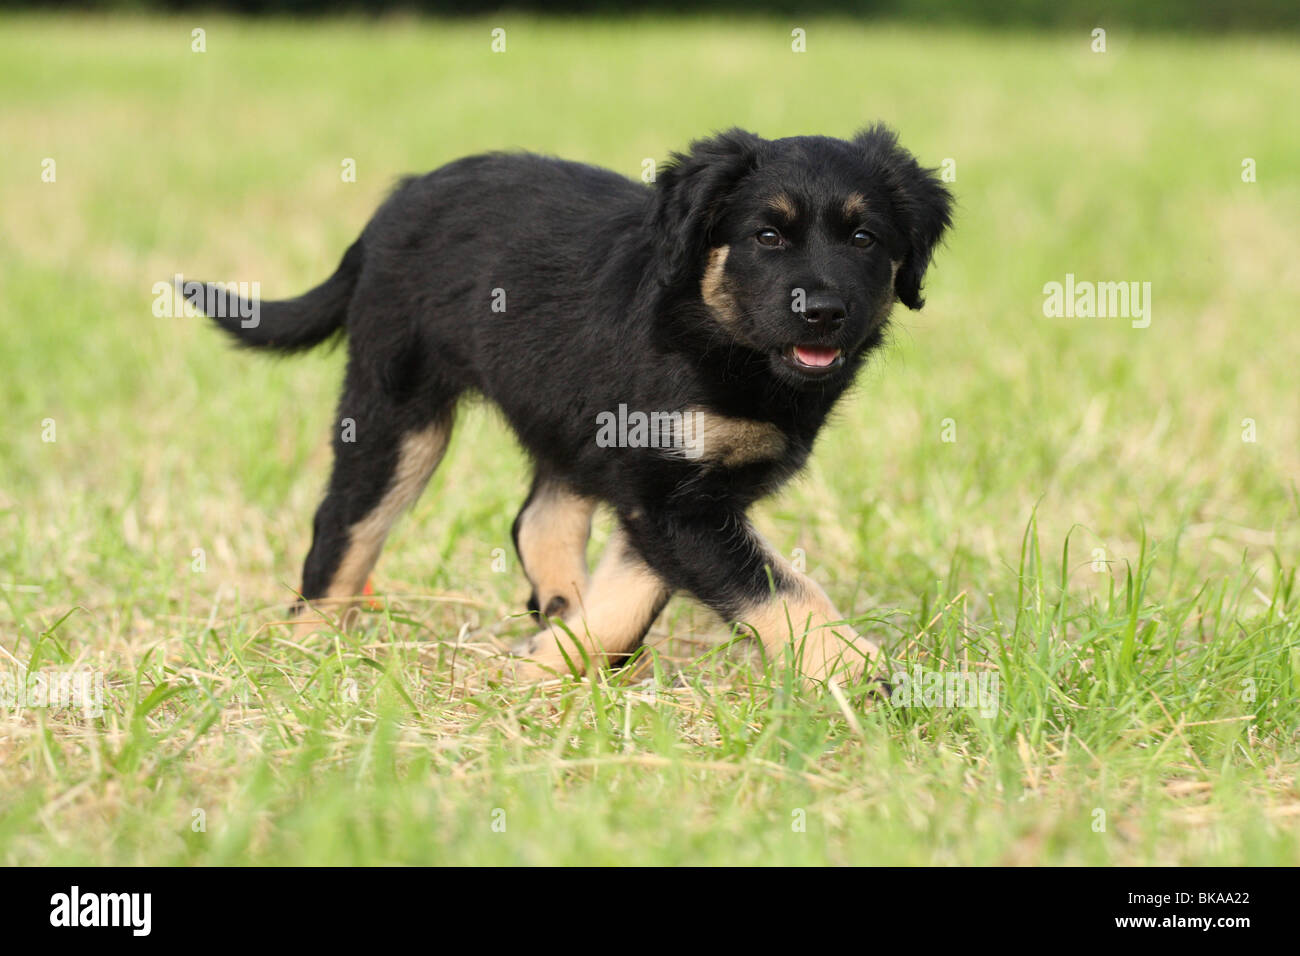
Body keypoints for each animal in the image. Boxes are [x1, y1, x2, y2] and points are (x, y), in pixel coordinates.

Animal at [185, 127, 956, 686]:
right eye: (767, 236)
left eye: (864, 238)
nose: (823, 313)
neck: (720, 341)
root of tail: (393, 204)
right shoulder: (671, 496)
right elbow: (778, 586)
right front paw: (855, 667)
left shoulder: (666, 496)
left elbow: (628, 599)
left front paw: (546, 666)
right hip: (397, 410)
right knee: (347, 526)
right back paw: (307, 649)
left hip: (565, 408)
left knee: (537, 517)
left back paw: (555, 605)